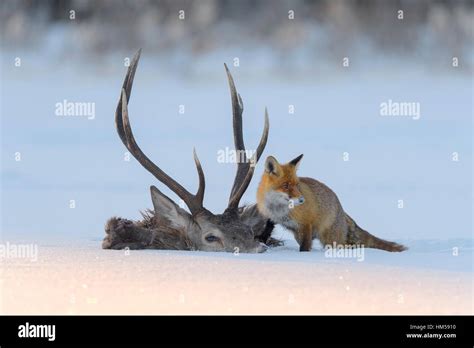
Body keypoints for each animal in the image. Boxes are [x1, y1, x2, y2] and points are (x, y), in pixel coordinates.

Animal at [256, 155, 408, 253]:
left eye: (297, 185)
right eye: (286, 185)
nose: (302, 200)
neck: (279, 209)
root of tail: (342, 210)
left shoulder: (306, 224)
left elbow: (304, 249)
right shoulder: (272, 218)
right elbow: (266, 229)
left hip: (330, 240)